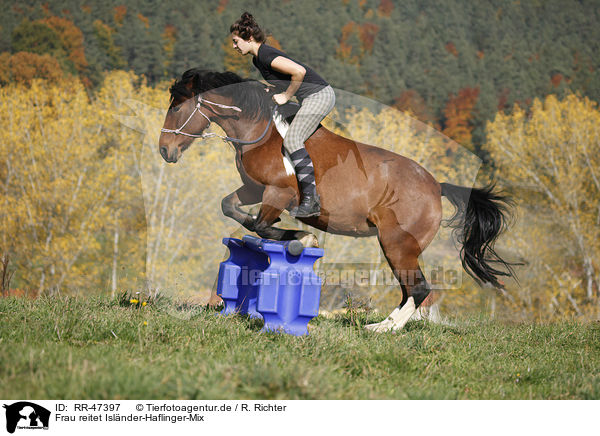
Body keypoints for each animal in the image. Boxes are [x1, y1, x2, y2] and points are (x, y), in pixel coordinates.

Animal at [159, 70, 516, 332]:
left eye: (176, 107)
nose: (165, 150)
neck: (259, 130)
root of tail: (435, 186)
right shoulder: (254, 189)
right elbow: (230, 207)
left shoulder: (278, 193)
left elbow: (261, 224)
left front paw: (303, 237)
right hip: (403, 247)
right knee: (412, 290)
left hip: (397, 243)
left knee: (418, 289)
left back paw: (381, 329)